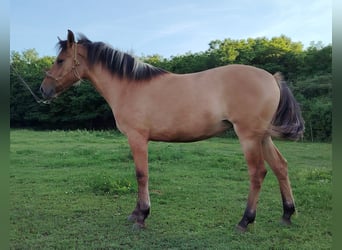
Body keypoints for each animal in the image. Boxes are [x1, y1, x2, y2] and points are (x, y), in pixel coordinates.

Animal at [40, 30, 304, 231]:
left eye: (60, 60)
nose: (43, 90)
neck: (128, 86)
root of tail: (272, 78)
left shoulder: (137, 138)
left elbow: (141, 175)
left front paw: (141, 216)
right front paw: (136, 213)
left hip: (249, 136)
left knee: (258, 173)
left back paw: (245, 220)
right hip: (263, 137)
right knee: (280, 167)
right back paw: (287, 214)